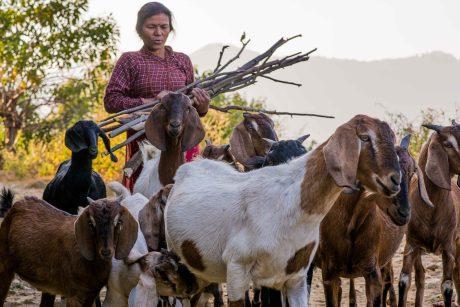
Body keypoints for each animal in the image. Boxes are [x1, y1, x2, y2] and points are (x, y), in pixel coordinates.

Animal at [0, 194, 137, 306]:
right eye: (91, 223)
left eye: (118, 222)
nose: (106, 251)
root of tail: (14, 207)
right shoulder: (74, 295)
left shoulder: (91, 293)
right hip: (4, 267)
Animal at [398, 123, 460, 307]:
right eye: (448, 144)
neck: (432, 209)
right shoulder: (412, 244)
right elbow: (404, 281)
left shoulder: (448, 246)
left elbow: (446, 286)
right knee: (421, 275)